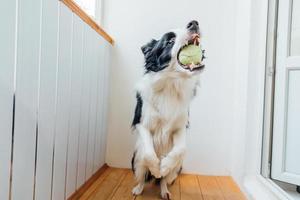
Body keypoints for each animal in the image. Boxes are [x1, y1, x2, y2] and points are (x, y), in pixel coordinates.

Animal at [131, 19, 204, 198]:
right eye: (170, 41)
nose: (194, 23)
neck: (171, 84)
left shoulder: (180, 127)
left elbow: (181, 150)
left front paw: (163, 166)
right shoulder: (141, 123)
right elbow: (149, 153)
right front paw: (156, 168)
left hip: (178, 169)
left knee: (165, 179)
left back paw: (164, 190)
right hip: (136, 159)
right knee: (143, 175)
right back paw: (139, 188)